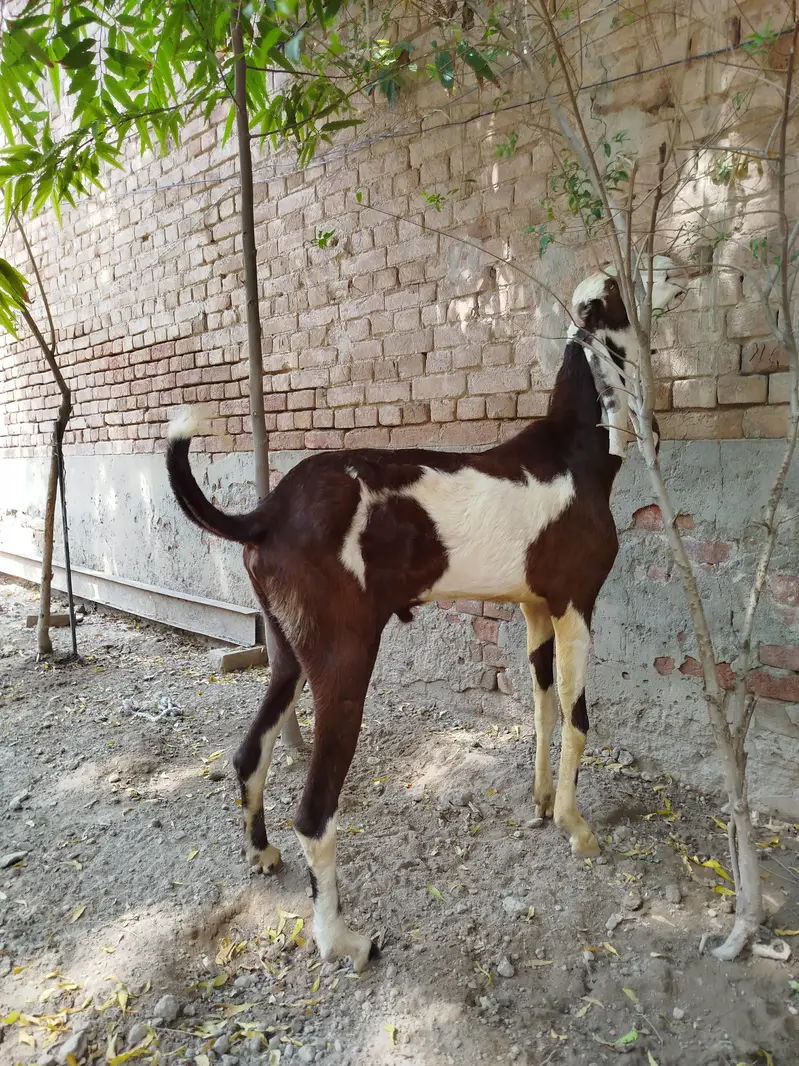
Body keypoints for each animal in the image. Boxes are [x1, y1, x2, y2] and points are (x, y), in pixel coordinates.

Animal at [166, 259, 686, 972]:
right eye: (615, 294)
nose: (673, 272)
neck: (571, 449)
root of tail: (267, 511)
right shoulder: (578, 606)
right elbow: (578, 719)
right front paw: (576, 828)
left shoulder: (535, 613)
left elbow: (543, 710)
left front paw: (541, 802)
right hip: (344, 665)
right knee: (315, 814)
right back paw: (340, 938)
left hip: (287, 656)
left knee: (250, 755)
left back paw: (260, 852)